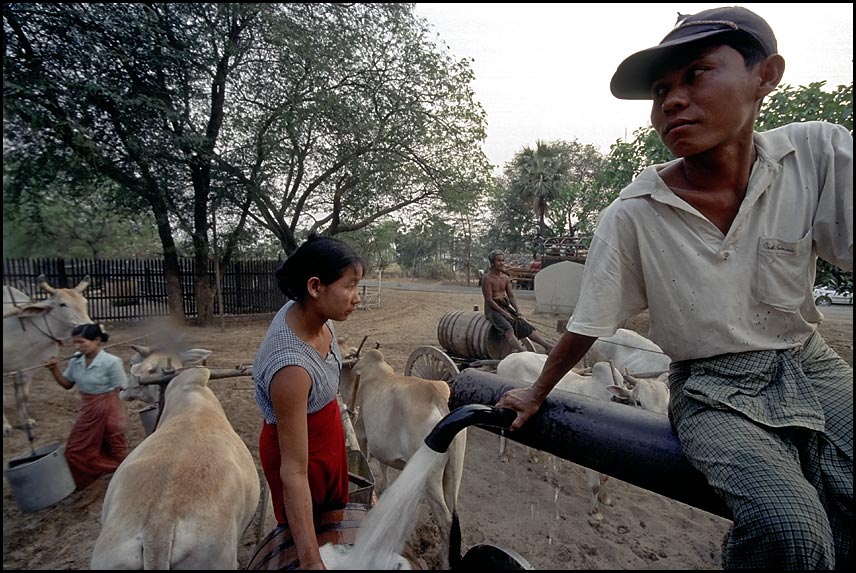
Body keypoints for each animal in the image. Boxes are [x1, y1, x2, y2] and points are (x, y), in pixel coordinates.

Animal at [2, 276, 92, 434]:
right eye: (62, 304)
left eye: (85, 302)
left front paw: (26, 422)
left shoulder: (29, 367)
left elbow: (22, 395)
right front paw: (5, 426)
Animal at [340, 346, 468, 568]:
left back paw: (444, 562)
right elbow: (383, 465)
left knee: (446, 520)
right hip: (453, 473)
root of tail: (437, 396)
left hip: (430, 478)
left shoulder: (362, 433)